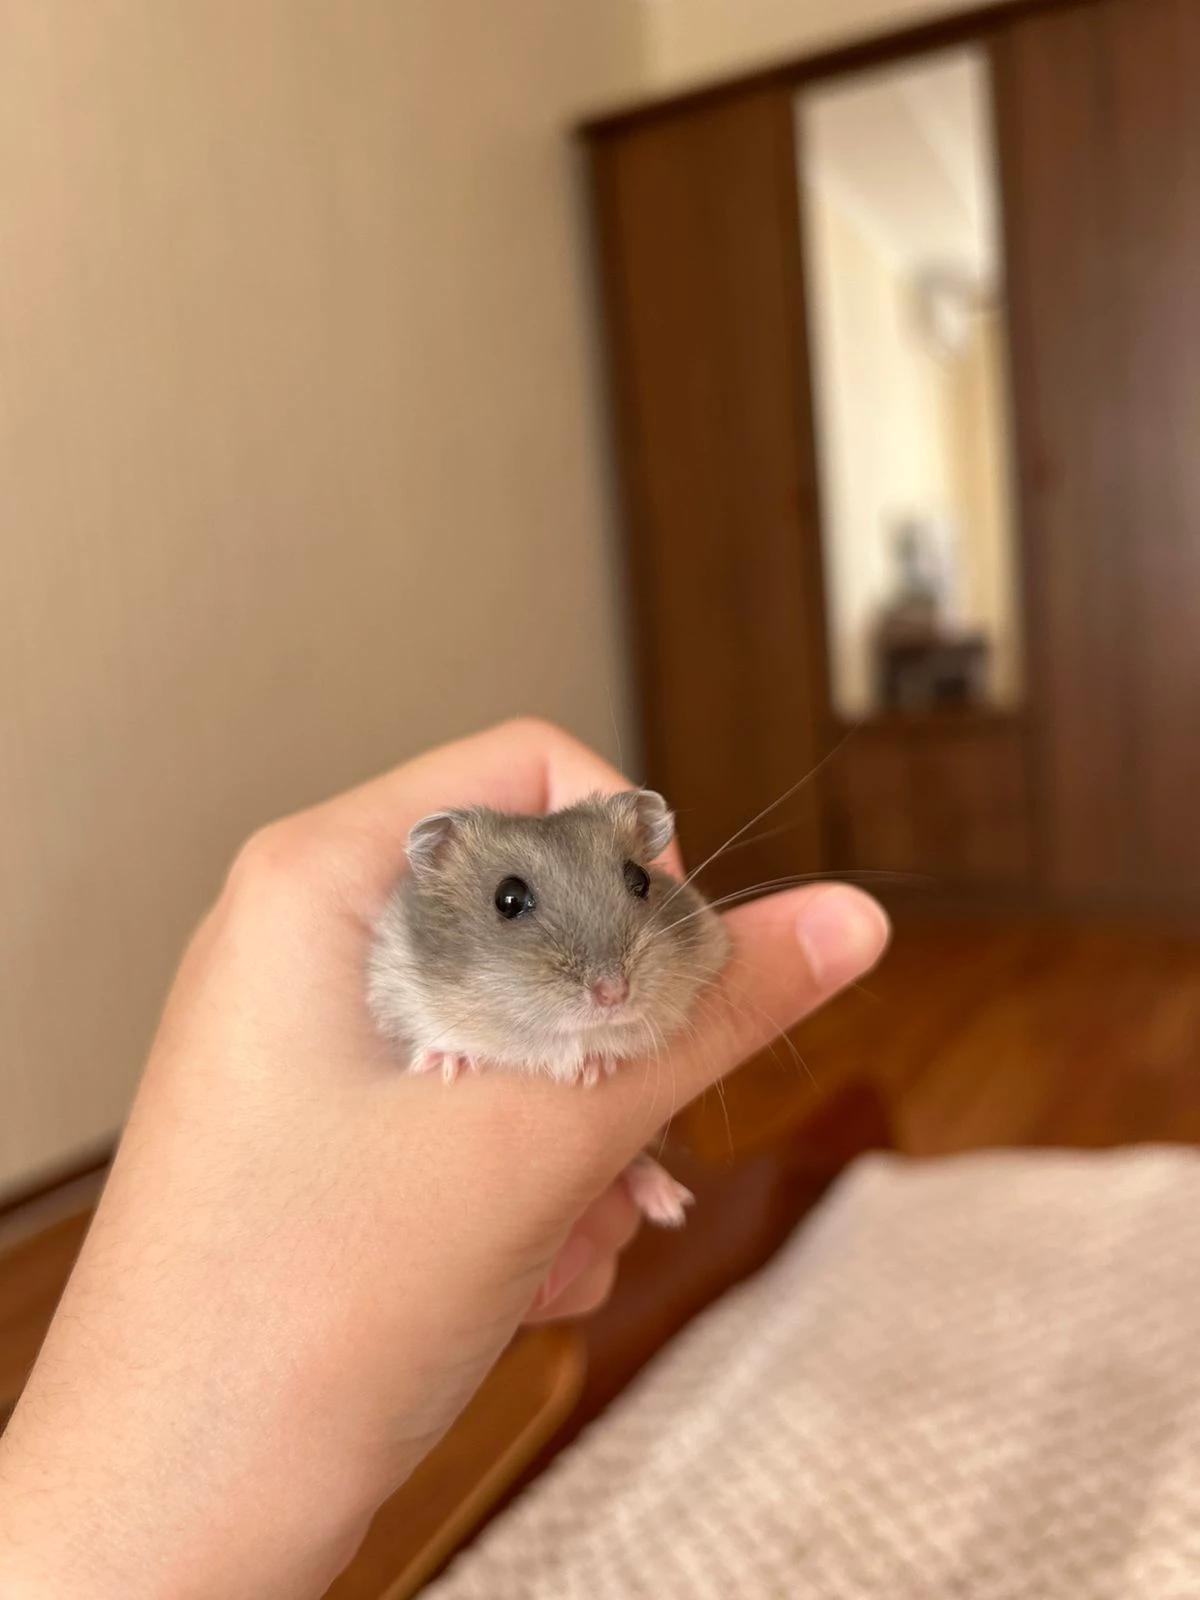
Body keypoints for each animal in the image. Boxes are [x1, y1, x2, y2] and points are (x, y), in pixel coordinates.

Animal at [367, 788, 729, 1226]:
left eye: (640, 879)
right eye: (508, 899)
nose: (614, 994)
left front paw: (592, 1067)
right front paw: (446, 1063)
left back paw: (670, 1204)